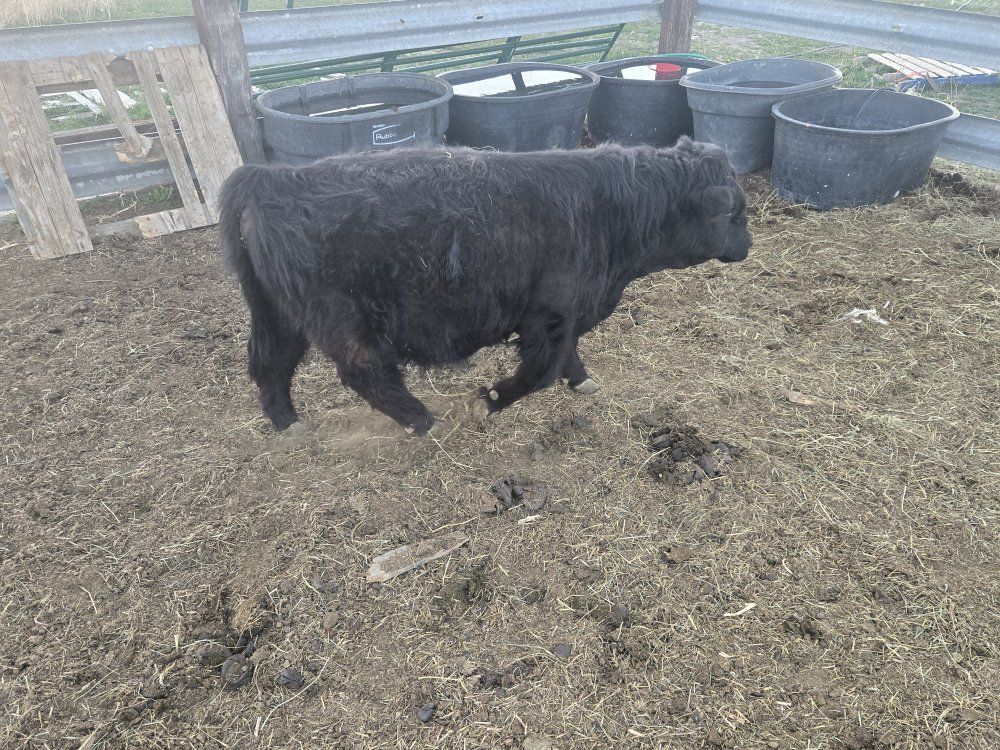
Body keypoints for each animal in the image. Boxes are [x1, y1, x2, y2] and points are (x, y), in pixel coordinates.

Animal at [218, 137, 751, 435]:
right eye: (734, 211)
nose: (748, 245)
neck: (607, 210)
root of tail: (272, 177)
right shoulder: (549, 315)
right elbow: (539, 372)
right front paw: (491, 401)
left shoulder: (567, 314)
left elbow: (566, 357)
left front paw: (581, 380)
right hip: (344, 318)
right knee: (363, 370)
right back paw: (419, 419)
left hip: (280, 314)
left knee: (271, 363)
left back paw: (289, 424)